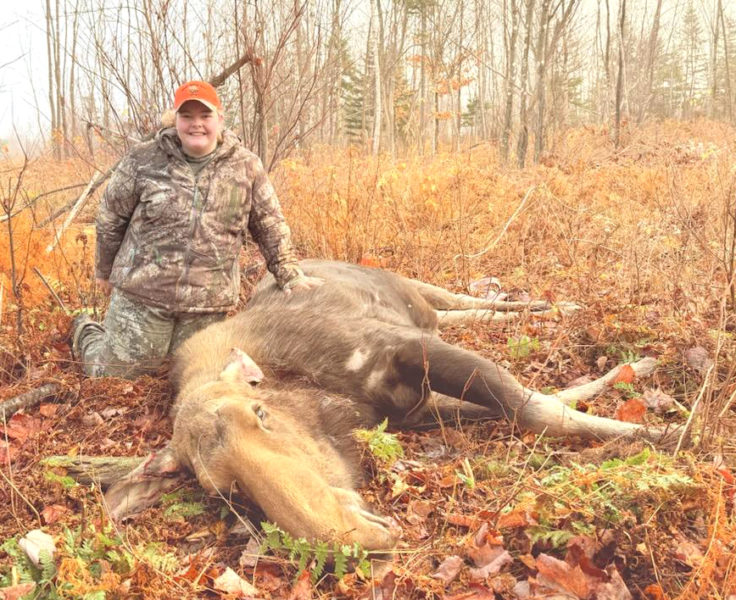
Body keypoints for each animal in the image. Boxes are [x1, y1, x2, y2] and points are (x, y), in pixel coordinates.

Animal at [105, 260, 668, 552]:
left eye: (260, 413)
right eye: (223, 489)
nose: (359, 535)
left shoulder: (401, 350)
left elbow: (533, 407)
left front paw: (661, 434)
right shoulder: (412, 410)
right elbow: (538, 402)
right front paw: (633, 385)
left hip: (416, 290)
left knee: (480, 301)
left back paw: (564, 306)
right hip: (428, 321)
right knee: (472, 312)